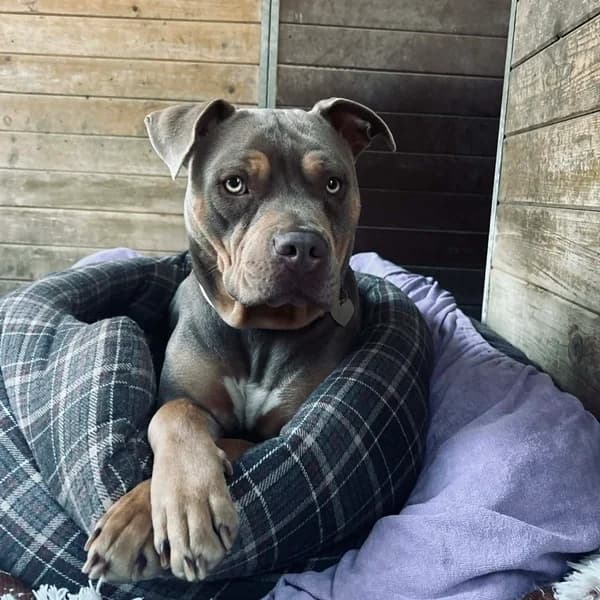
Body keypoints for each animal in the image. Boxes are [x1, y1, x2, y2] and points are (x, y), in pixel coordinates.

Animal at [82, 97, 395, 583]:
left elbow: (235, 442)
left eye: (333, 183)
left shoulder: (283, 430)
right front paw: (149, 512)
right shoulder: (184, 398)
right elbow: (175, 413)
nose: (302, 247)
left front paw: (170, 512)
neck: (259, 330)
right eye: (235, 184)